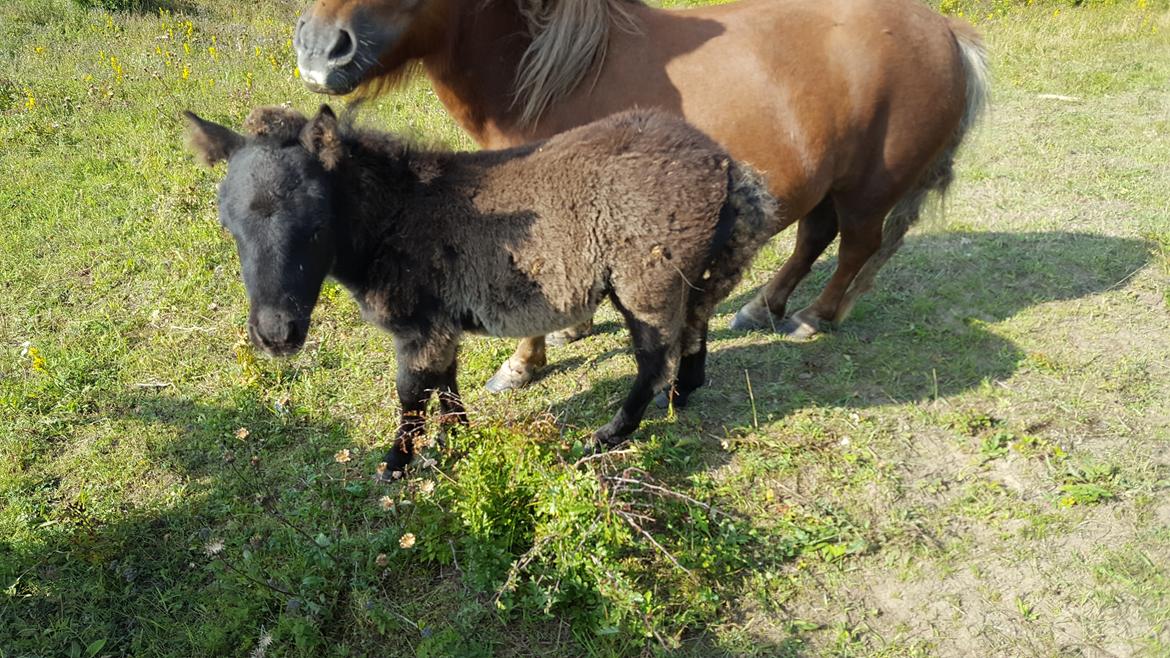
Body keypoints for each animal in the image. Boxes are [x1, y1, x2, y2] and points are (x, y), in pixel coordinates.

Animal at [294, 0, 987, 388]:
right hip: (830, 182)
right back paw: (764, 306)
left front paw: (522, 364)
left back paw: (814, 318)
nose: (319, 49)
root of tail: (944, 29)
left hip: (869, 189)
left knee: (854, 248)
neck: (553, 71)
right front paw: (572, 332)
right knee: (816, 236)